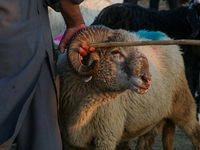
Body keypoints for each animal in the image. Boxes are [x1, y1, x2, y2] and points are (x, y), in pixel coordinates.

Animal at [57, 25, 199, 150]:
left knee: (195, 133)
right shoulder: (68, 141)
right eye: (115, 51)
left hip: (183, 104)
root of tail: (165, 36)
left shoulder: (106, 137)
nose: (147, 79)